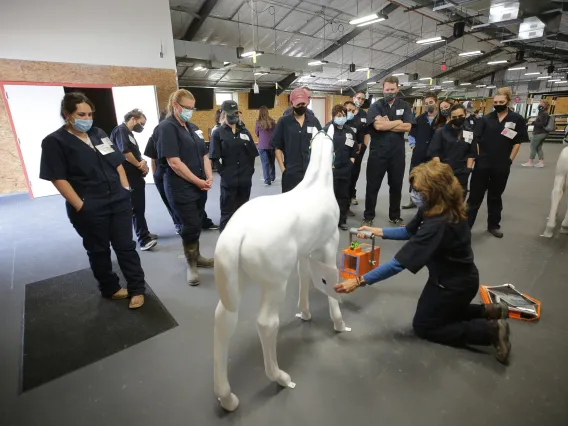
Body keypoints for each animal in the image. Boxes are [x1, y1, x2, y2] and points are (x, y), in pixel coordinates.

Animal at [213, 125, 346, 412]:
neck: (317, 185)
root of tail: (237, 233)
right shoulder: (330, 243)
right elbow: (331, 282)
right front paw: (339, 323)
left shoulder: (304, 253)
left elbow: (305, 278)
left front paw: (305, 313)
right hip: (274, 285)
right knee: (266, 324)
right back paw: (281, 378)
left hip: (237, 282)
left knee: (223, 320)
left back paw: (227, 398)